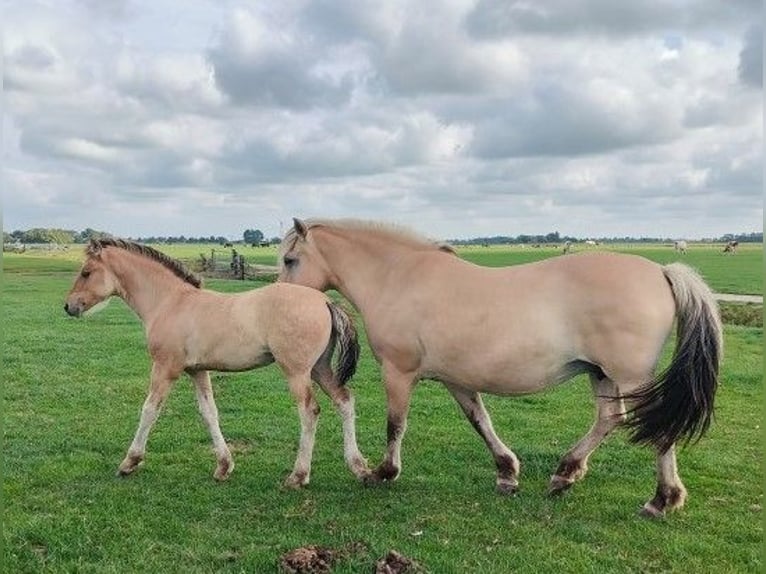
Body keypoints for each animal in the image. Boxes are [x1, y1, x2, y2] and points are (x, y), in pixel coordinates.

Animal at [64, 238, 369, 487]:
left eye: (86, 272)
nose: (69, 306)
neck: (170, 302)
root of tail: (326, 301)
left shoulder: (166, 367)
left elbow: (150, 409)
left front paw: (130, 462)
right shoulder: (197, 371)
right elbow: (209, 413)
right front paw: (224, 466)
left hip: (297, 371)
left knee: (309, 411)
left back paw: (298, 476)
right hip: (319, 368)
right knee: (344, 400)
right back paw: (359, 466)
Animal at [277, 218, 723, 517]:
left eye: (290, 258)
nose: (280, 300)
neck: (397, 277)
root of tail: (662, 271)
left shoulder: (398, 373)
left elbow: (395, 425)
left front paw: (382, 472)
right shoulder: (457, 380)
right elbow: (481, 421)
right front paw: (507, 472)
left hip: (628, 377)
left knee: (659, 428)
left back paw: (661, 500)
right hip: (602, 373)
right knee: (609, 419)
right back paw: (566, 473)